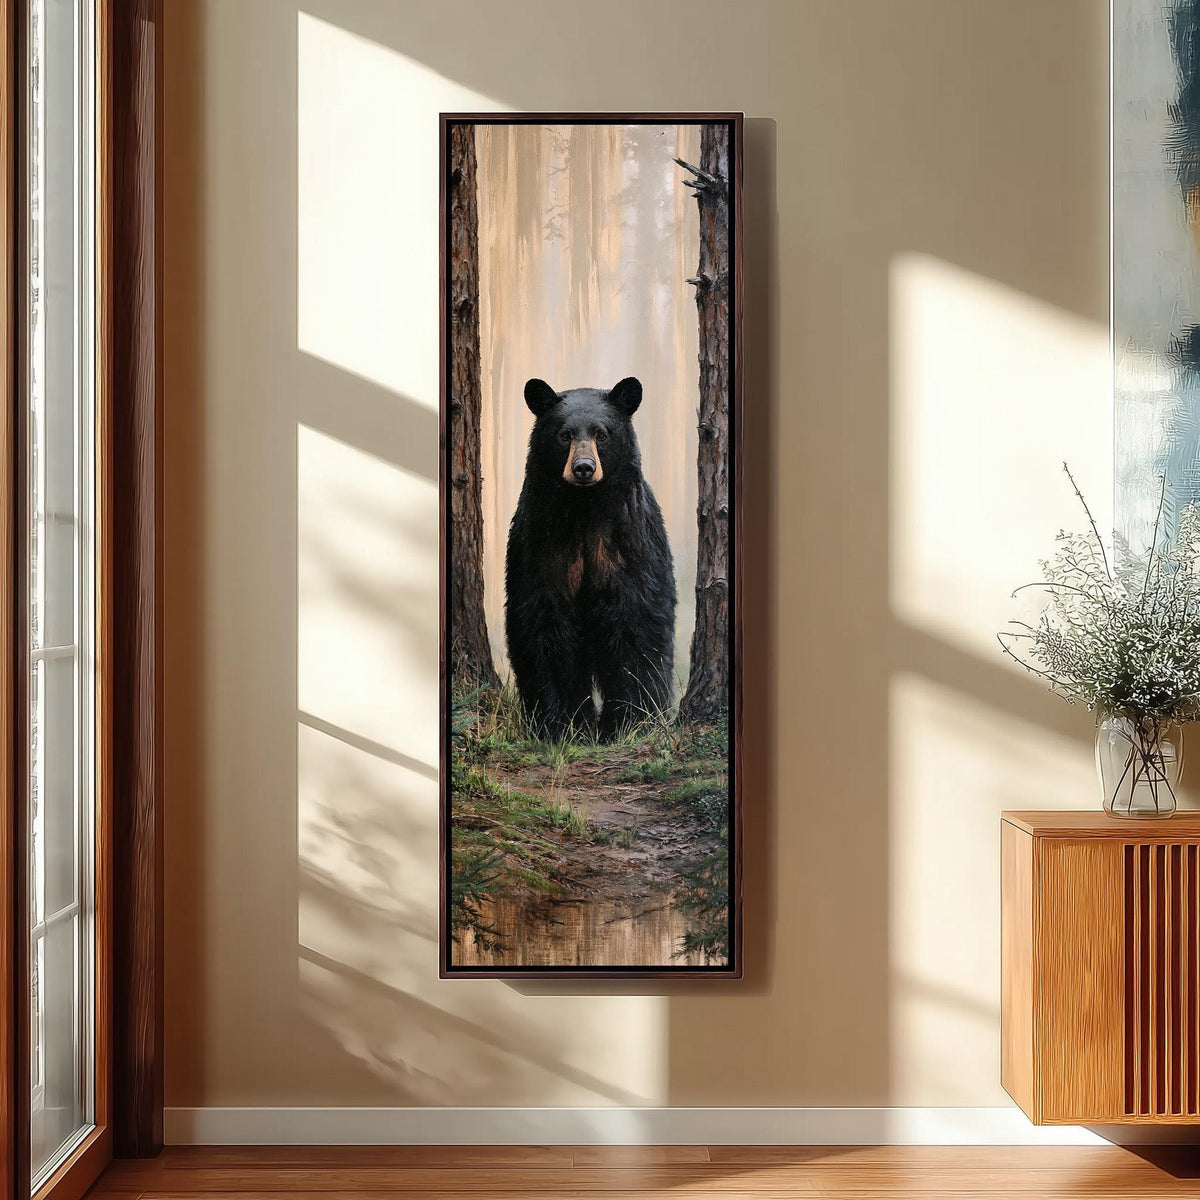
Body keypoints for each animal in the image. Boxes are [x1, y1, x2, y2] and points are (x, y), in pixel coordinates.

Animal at [505, 376, 676, 741]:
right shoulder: (542, 544)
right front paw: (565, 725)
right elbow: (546, 626)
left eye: (601, 433)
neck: (585, 510)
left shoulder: (629, 542)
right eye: (564, 434)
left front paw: (629, 723)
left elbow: (637, 622)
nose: (583, 468)